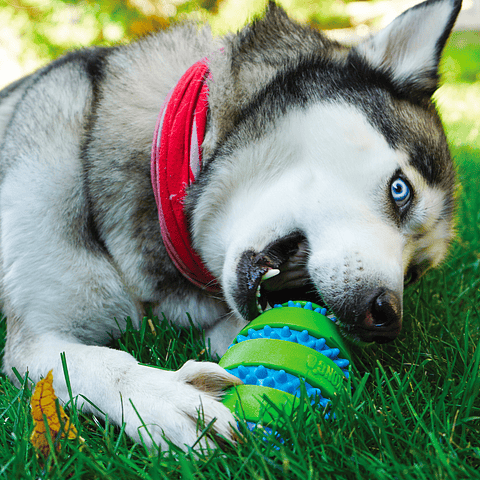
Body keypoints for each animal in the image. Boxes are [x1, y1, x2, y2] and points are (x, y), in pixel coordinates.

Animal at [1, 0, 464, 450]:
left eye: (415, 273)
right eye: (401, 191)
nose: (386, 319)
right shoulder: (35, 339)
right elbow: (92, 361)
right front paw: (159, 397)